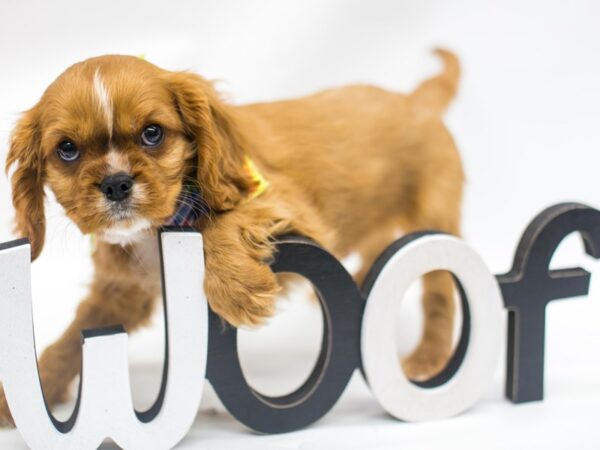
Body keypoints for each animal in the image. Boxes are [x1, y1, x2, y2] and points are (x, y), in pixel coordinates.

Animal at [1, 50, 464, 426]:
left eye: (153, 133)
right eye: (67, 149)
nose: (116, 184)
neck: (157, 229)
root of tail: (415, 99)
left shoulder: (284, 202)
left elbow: (219, 222)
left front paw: (240, 291)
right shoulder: (124, 290)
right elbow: (75, 335)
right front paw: (27, 397)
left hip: (435, 216)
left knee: (439, 290)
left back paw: (429, 355)